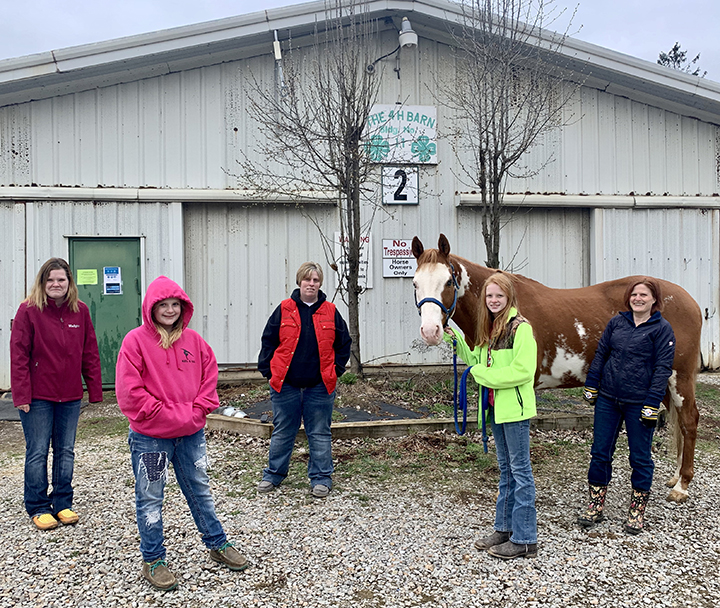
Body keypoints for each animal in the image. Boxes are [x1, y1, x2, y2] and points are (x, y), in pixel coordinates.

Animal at [414, 233, 700, 504]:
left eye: (448, 282)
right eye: (415, 283)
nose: (430, 331)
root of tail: (691, 301)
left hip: (679, 377)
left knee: (689, 419)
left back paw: (682, 487)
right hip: (661, 381)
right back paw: (674, 478)